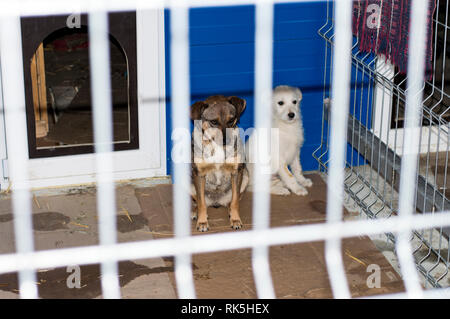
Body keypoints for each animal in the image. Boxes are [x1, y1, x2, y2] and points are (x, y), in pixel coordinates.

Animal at [190, 95, 250, 232]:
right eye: (214, 122)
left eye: (231, 120)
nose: (226, 141)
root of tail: (216, 202)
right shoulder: (199, 173)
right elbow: (201, 202)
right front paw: (202, 222)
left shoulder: (236, 172)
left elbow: (235, 201)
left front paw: (235, 219)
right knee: (199, 201)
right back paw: (196, 212)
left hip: (245, 176)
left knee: (232, 200)